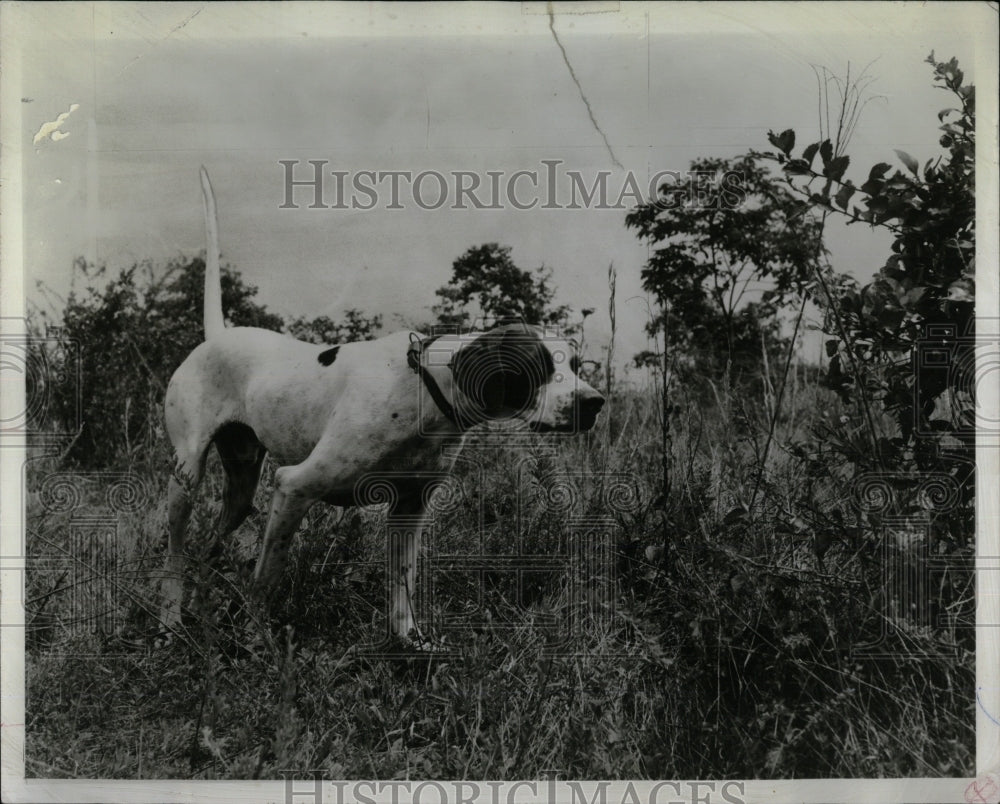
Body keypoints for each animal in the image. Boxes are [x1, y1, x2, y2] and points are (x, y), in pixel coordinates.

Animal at [160, 166, 604, 644]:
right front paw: (257, 640)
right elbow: (267, 578)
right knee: (176, 554)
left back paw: (200, 618)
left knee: (208, 549)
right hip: (186, 478)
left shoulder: (410, 508)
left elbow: (402, 582)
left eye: (575, 364)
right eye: (536, 366)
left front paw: (409, 641)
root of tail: (217, 336)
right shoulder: (294, 486)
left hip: (241, 487)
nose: (594, 402)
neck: (424, 390)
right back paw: (169, 622)